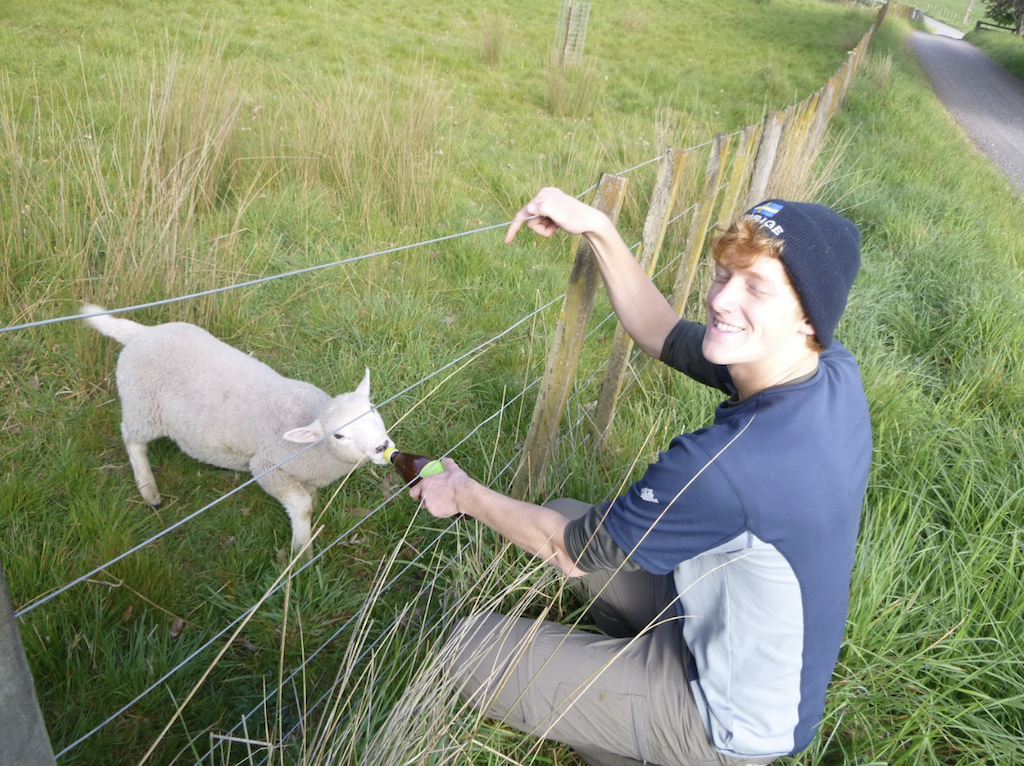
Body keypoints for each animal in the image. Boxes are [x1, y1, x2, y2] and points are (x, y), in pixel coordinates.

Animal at [80, 304, 394, 553]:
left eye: (372, 409)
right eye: (338, 435)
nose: (382, 447)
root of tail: (141, 333)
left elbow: (310, 500)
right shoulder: (267, 467)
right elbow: (302, 507)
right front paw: (301, 551)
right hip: (142, 408)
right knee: (131, 438)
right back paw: (148, 489)